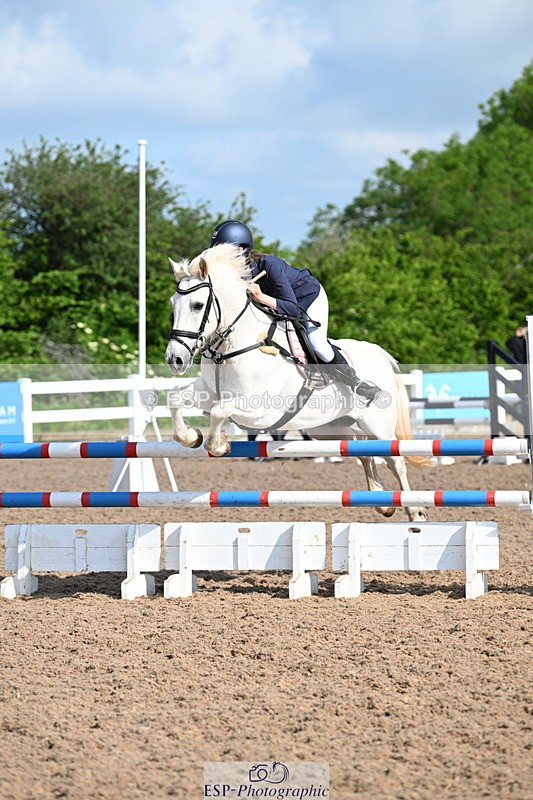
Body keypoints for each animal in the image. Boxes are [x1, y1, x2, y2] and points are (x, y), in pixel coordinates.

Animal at [165, 243, 429, 522]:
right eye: (173, 305)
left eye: (197, 305)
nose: (175, 359)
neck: (234, 345)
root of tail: (379, 356)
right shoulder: (207, 391)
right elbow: (176, 397)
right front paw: (191, 437)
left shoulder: (261, 410)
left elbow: (219, 411)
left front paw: (219, 444)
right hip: (333, 429)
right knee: (364, 455)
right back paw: (382, 503)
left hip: (378, 426)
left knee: (395, 461)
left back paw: (414, 511)